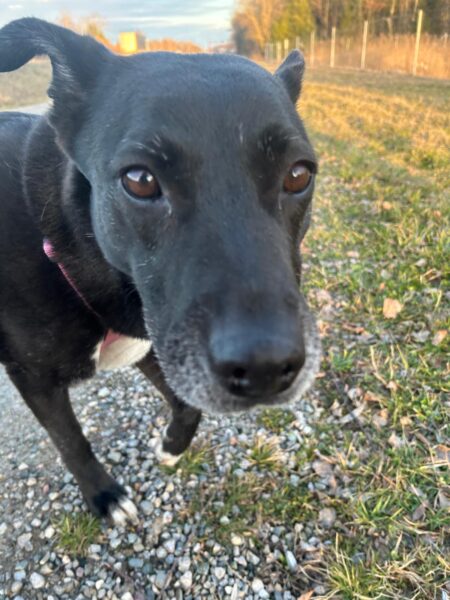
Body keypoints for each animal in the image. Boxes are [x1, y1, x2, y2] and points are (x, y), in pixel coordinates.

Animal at [0, 18, 320, 525]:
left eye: (298, 174)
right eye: (139, 180)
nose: (267, 369)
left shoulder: (153, 339)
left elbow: (188, 406)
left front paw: (171, 447)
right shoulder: (34, 377)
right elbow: (71, 440)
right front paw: (104, 495)